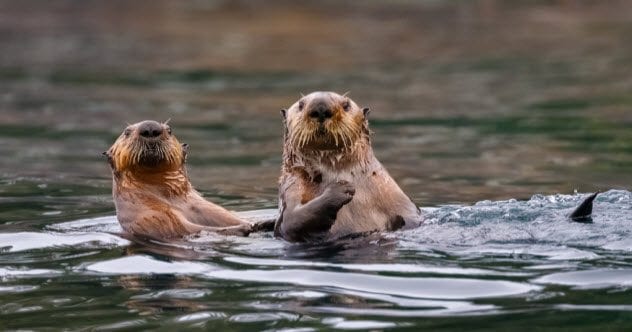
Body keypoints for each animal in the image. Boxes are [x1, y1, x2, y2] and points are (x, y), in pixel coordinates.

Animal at [103, 120, 254, 240]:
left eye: (170, 130)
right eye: (126, 132)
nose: (150, 128)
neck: (172, 201)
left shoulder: (205, 208)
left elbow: (227, 217)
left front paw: (253, 223)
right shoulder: (152, 218)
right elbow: (184, 229)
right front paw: (247, 227)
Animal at [274, 91, 422, 241]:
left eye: (346, 105)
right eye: (300, 105)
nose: (321, 108)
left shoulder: (398, 200)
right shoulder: (292, 186)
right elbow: (289, 221)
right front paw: (341, 188)